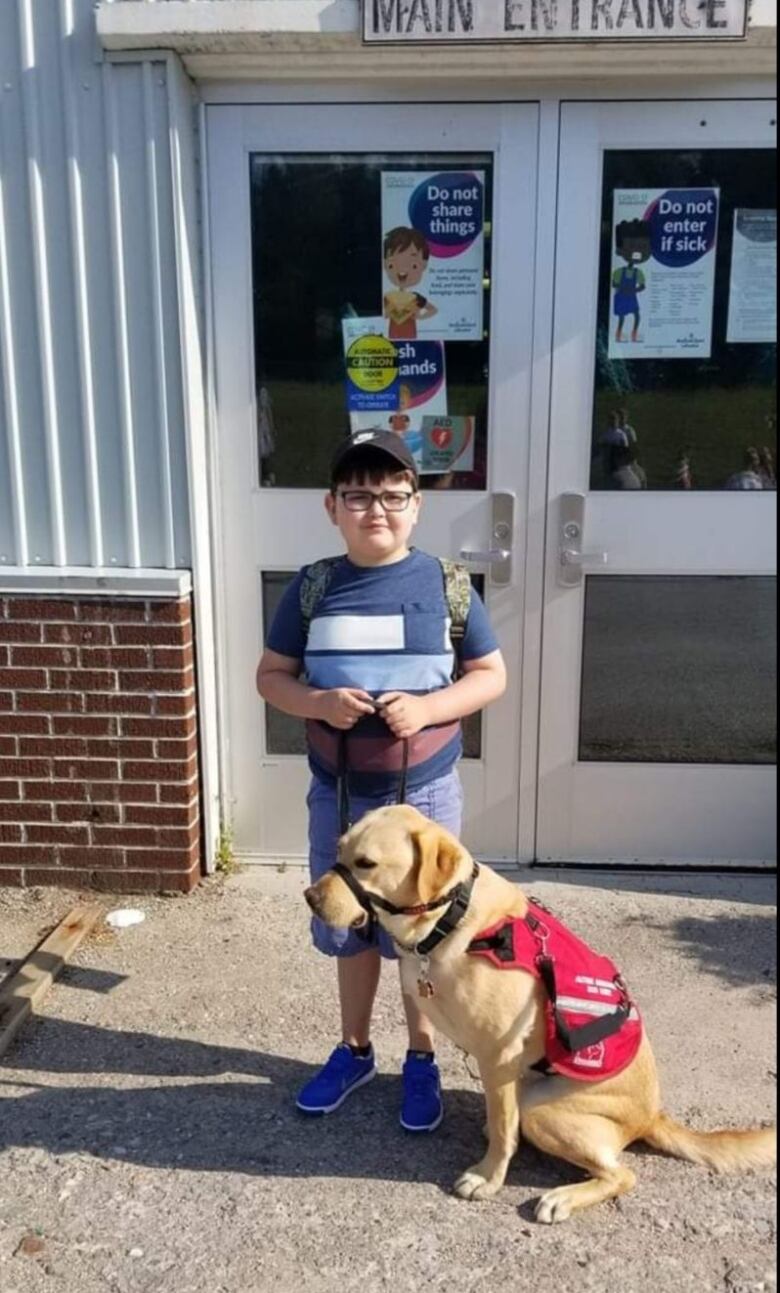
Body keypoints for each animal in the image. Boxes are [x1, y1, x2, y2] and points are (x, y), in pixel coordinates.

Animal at [305, 806, 776, 1220]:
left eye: (367, 863)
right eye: (339, 849)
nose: (309, 897)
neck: (449, 918)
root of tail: (652, 1116)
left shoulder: (498, 1056)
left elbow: (502, 1129)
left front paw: (488, 1177)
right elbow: (500, 1121)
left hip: (543, 1109)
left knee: (621, 1173)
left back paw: (561, 1198)